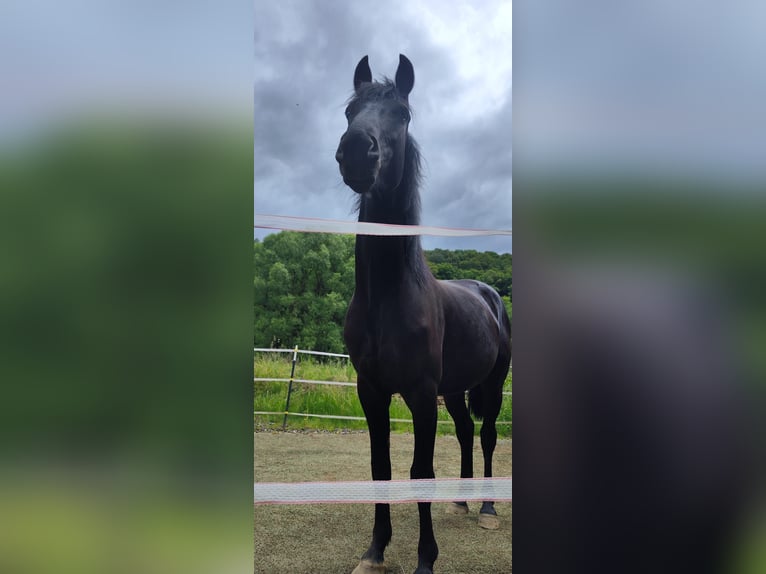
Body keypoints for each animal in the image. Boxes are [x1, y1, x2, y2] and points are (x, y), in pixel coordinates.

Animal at [338, 55, 512, 574]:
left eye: (403, 114)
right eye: (350, 110)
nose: (358, 152)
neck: (388, 299)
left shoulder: (418, 394)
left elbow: (420, 471)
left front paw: (425, 559)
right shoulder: (371, 391)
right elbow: (380, 468)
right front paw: (375, 551)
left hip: (491, 382)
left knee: (488, 434)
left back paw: (488, 507)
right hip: (454, 390)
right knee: (467, 432)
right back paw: (461, 500)